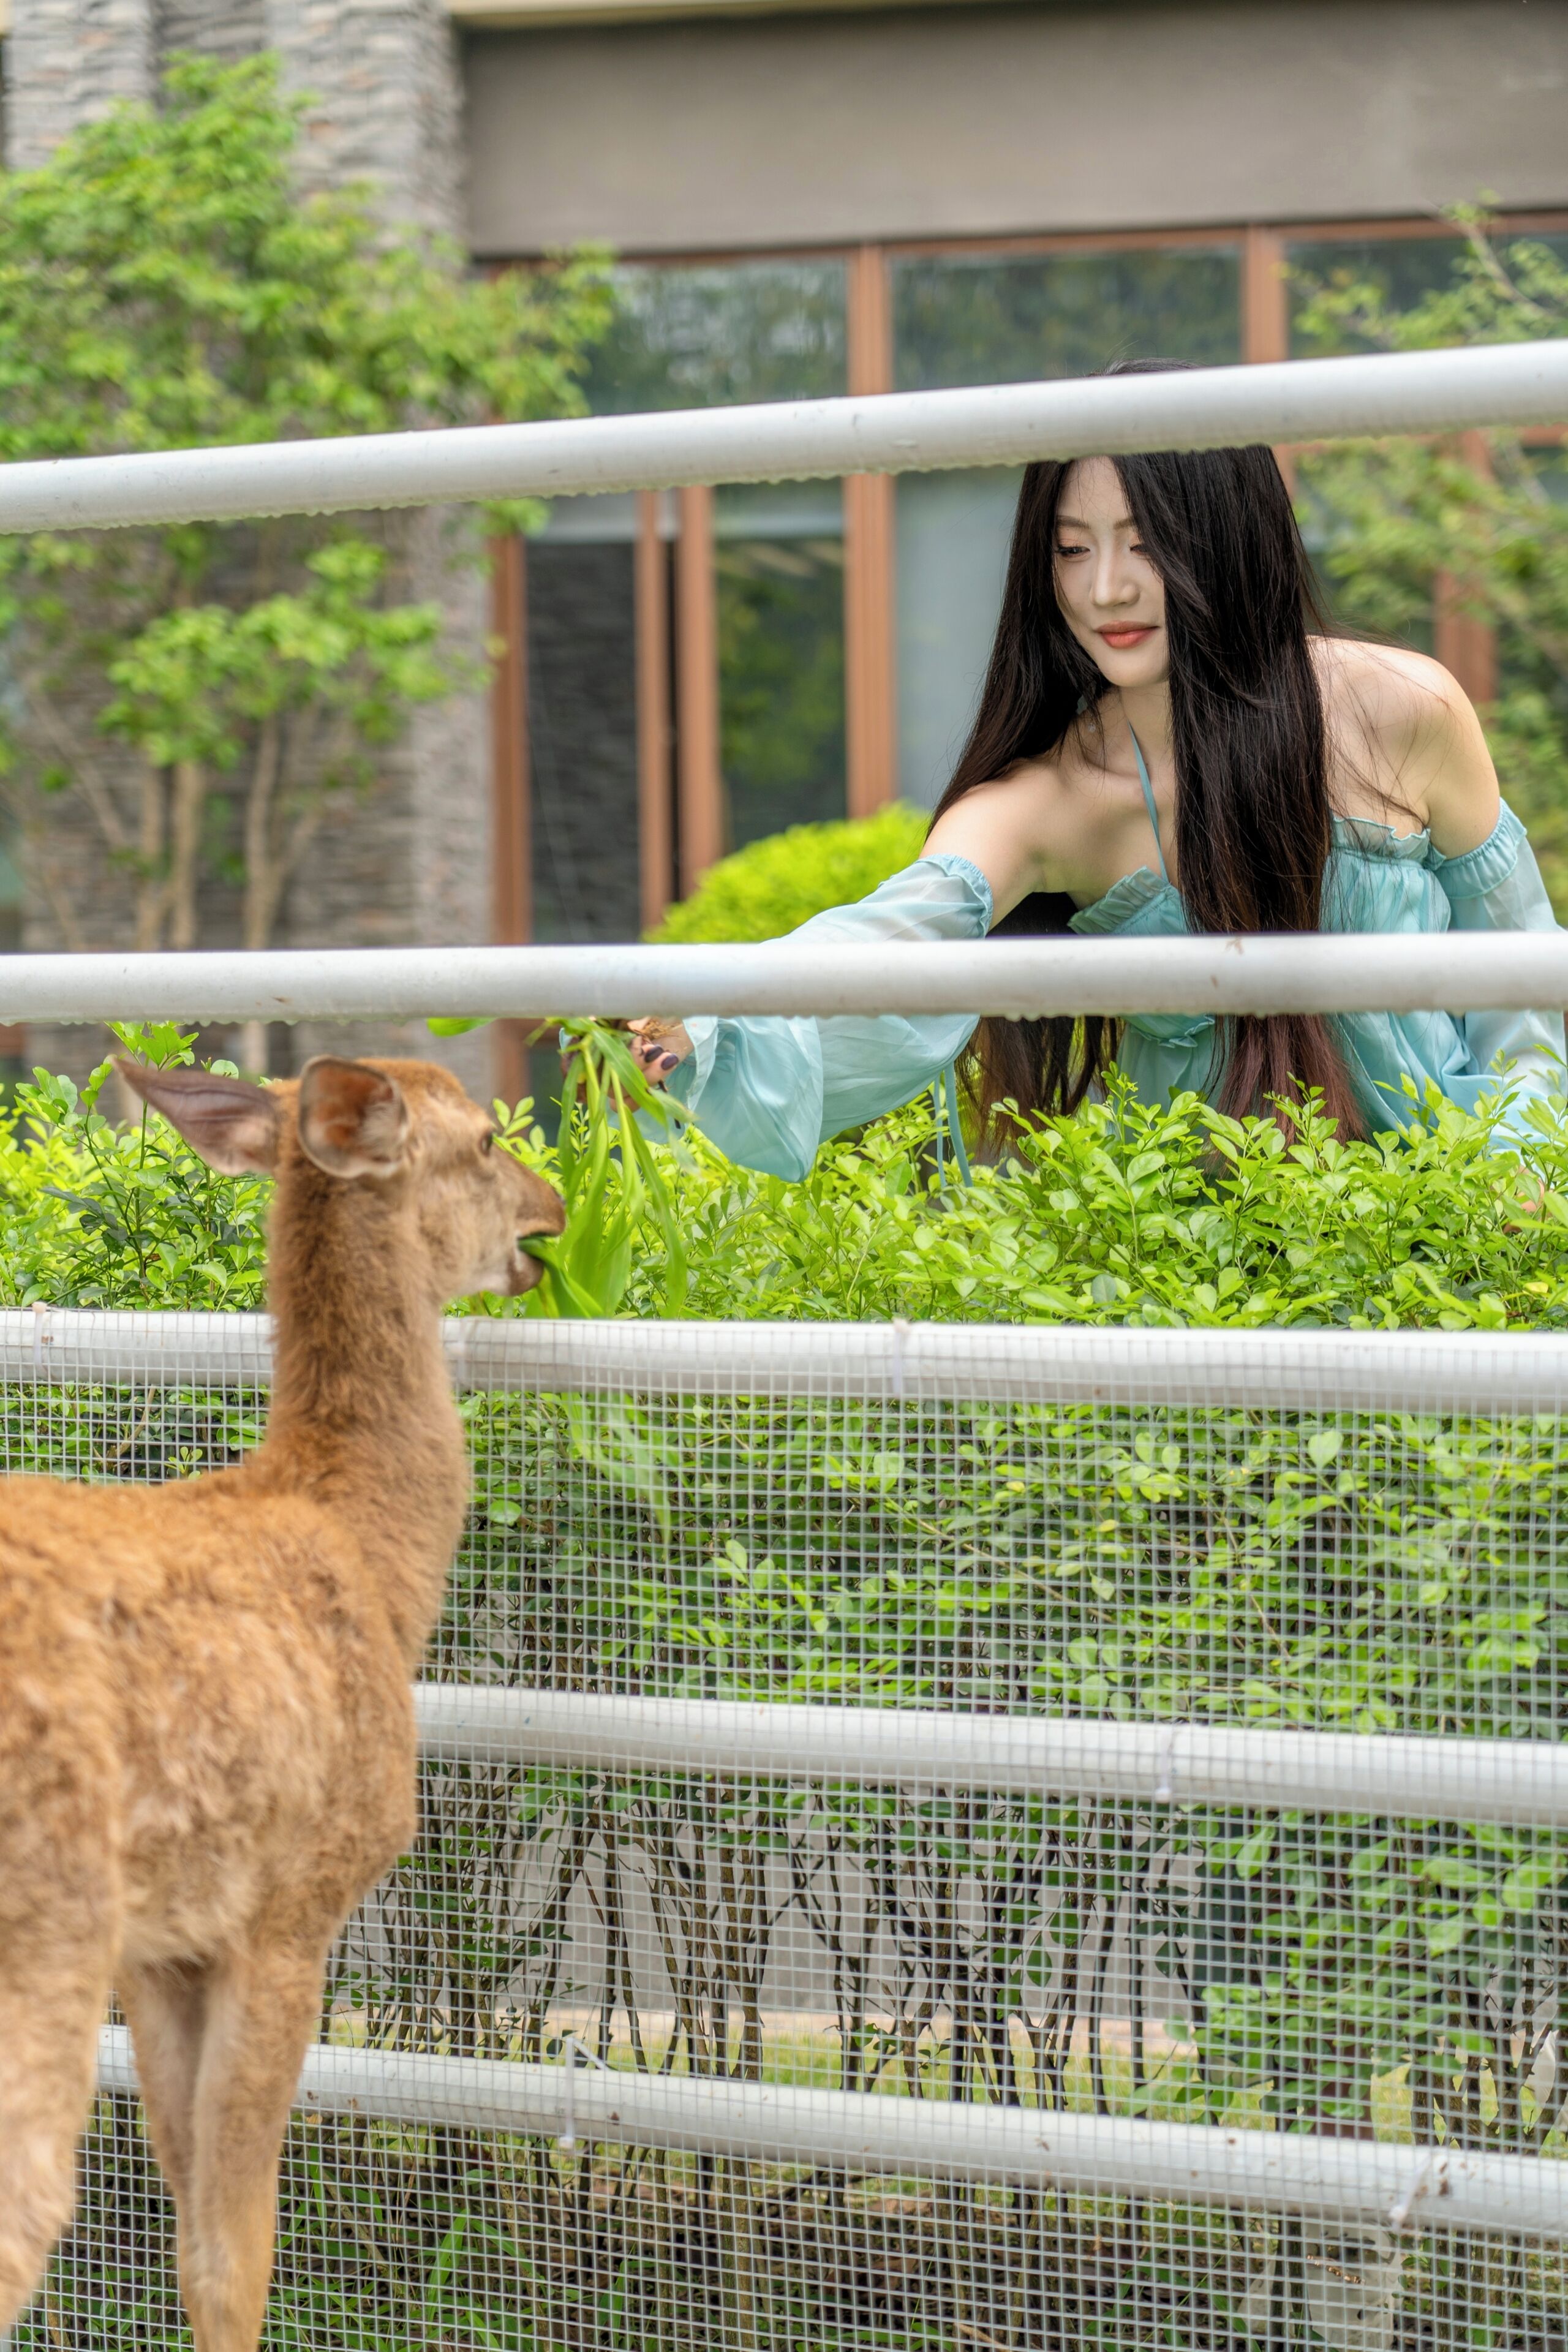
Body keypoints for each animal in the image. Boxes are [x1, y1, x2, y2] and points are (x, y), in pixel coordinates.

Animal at [0, 1054, 565, 2350]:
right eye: (480, 1141)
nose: (555, 1210)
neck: (370, 1554)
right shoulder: (291, 1905)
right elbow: (234, 2254)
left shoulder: (163, 1947)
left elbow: (186, 2228)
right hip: (41, 1924)